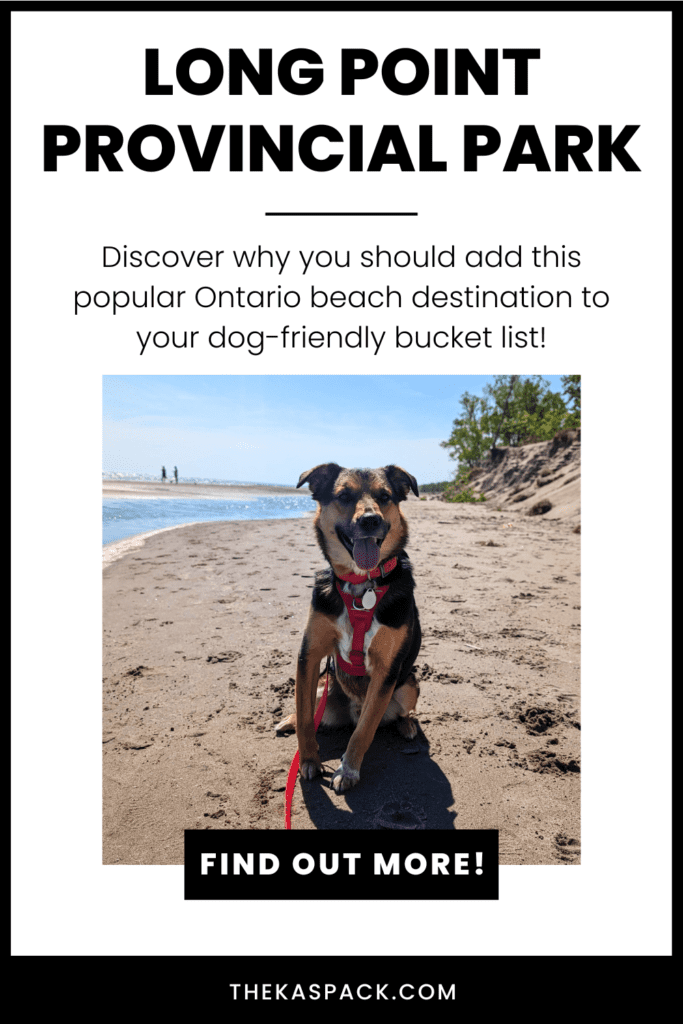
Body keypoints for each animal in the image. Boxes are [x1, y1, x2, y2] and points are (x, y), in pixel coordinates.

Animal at [276, 462, 421, 790]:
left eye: (385, 496)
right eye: (343, 496)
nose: (370, 520)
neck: (361, 584)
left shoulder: (386, 670)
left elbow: (364, 730)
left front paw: (349, 769)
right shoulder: (309, 655)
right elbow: (306, 718)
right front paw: (309, 761)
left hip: (409, 685)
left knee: (394, 713)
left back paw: (407, 725)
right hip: (322, 689)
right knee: (308, 709)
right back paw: (288, 721)